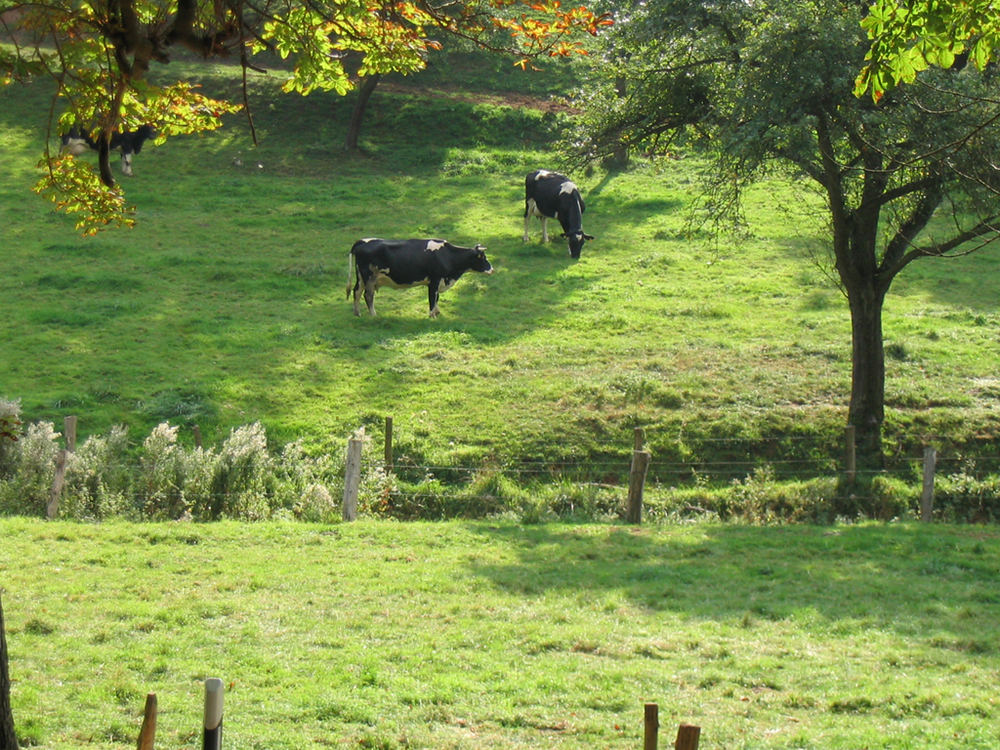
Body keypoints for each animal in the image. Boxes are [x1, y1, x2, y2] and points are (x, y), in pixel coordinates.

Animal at [348, 236, 496, 316]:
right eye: (483, 258)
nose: (492, 270)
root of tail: (363, 241)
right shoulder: (435, 280)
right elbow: (432, 298)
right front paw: (432, 315)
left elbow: (437, 297)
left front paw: (437, 312)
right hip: (369, 277)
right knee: (368, 295)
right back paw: (374, 315)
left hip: (361, 277)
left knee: (356, 292)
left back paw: (357, 313)